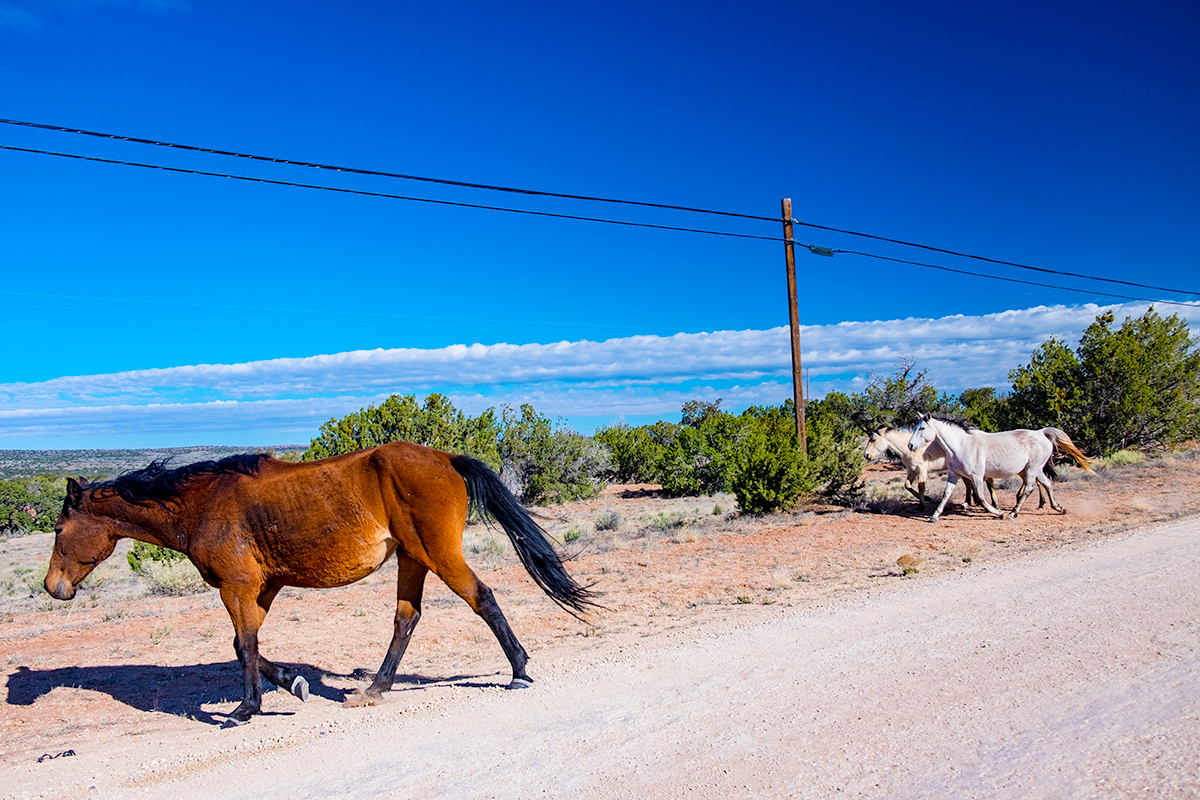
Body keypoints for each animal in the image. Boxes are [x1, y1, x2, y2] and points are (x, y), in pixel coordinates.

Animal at [44, 443, 597, 724]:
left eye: (57, 529)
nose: (54, 588)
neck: (202, 504)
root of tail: (445, 459)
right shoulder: (260, 587)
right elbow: (247, 646)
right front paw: (293, 683)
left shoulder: (236, 587)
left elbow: (244, 646)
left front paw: (246, 708)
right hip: (413, 559)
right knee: (406, 618)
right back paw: (373, 688)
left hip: (437, 554)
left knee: (482, 598)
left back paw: (520, 670)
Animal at [864, 424, 993, 513]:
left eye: (873, 440)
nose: (866, 455)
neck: (909, 448)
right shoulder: (912, 470)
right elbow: (907, 485)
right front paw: (927, 498)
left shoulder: (922, 470)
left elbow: (921, 486)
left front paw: (922, 506)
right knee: (968, 483)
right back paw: (969, 503)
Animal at [902, 417, 1094, 522]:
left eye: (922, 428)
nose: (910, 445)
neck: (962, 445)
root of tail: (1041, 433)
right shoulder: (954, 474)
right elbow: (946, 494)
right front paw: (934, 517)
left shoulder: (976, 476)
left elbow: (980, 497)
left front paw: (999, 513)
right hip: (1035, 469)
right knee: (1047, 484)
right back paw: (1058, 508)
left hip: (1031, 470)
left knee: (1029, 489)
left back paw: (1012, 514)